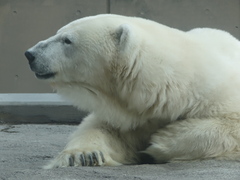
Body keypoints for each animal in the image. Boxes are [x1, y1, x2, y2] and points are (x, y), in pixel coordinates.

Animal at [24, 14, 240, 169]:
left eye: (67, 40)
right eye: (58, 32)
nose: (30, 54)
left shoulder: (215, 95)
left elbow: (230, 126)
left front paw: (161, 141)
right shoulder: (127, 110)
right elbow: (102, 128)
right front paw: (83, 155)